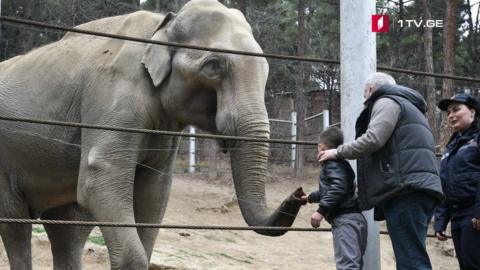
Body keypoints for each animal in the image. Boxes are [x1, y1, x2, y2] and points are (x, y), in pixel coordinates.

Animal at [0, 0, 304, 268]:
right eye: (214, 66)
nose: (299, 193)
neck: (162, 26)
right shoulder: (113, 94)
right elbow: (99, 182)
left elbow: (154, 191)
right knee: (16, 222)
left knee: (68, 228)